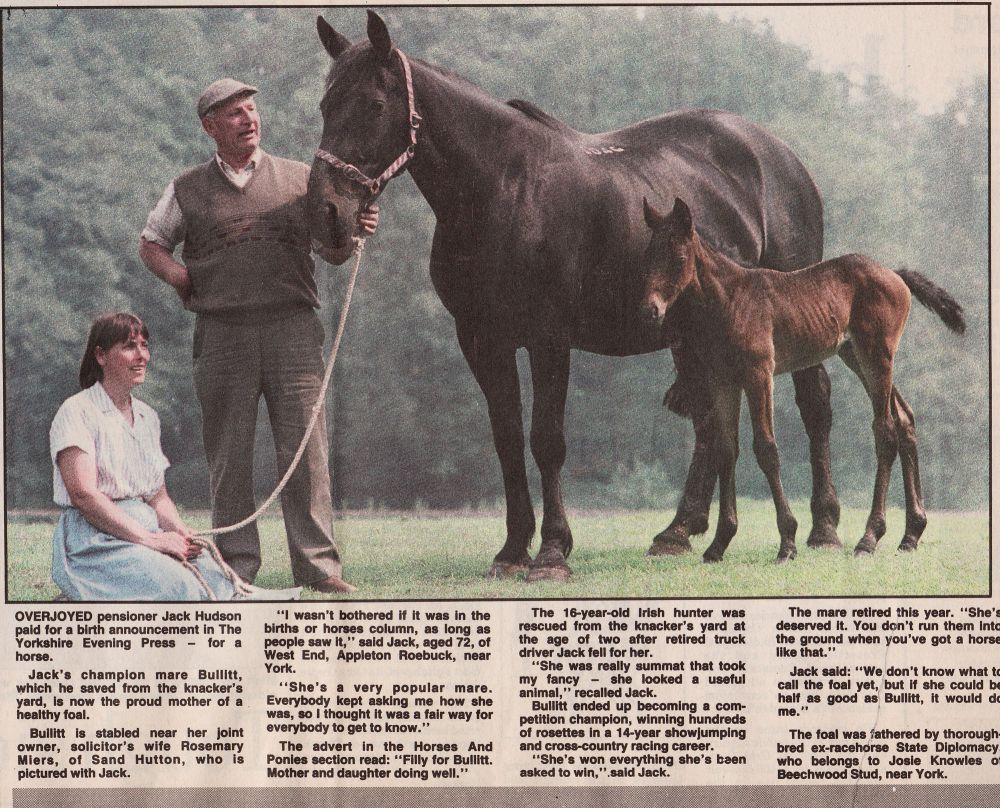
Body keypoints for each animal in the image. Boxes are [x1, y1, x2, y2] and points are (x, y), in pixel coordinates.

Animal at [308, 12, 840, 580]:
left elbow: (547, 440)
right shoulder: (482, 339)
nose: (328, 214)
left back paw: (824, 529)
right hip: (694, 336)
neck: (504, 189)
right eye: (325, 104)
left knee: (813, 401)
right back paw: (678, 531)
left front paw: (552, 553)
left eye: (375, 104)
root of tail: (783, 159)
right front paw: (512, 550)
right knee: (709, 421)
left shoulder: (549, 338)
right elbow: (507, 439)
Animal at [644, 197, 964, 560]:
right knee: (904, 418)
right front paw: (719, 544)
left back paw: (869, 538)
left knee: (885, 431)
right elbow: (726, 450)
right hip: (856, 356)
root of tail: (895, 275)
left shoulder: (759, 374)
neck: (729, 299)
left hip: (877, 356)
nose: (651, 310)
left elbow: (766, 449)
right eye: (648, 254)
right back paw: (910, 535)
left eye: (679, 258)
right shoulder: (724, 381)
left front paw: (787, 541)